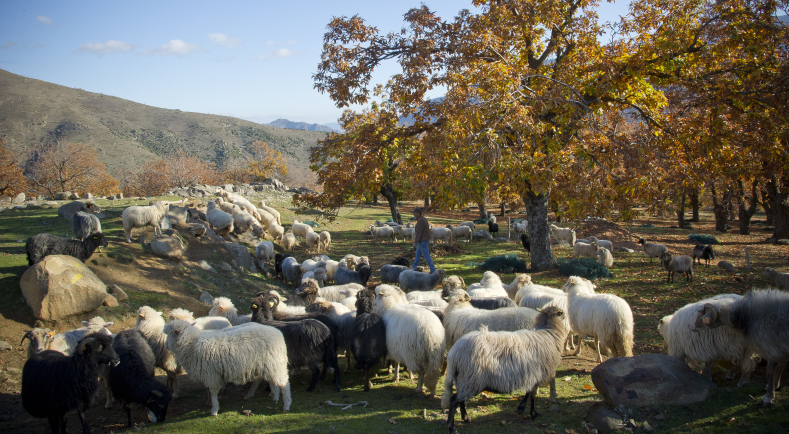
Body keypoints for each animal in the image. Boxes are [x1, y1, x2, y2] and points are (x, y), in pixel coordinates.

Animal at [164, 318, 292, 414]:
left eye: (169, 334)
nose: (165, 346)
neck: (191, 344)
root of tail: (277, 333)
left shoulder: (211, 374)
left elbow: (213, 392)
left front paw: (214, 409)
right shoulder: (208, 374)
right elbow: (209, 390)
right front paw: (210, 404)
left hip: (275, 363)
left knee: (284, 384)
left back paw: (286, 405)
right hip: (269, 365)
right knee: (273, 381)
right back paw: (275, 397)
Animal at [444, 306, 568, 434]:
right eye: (563, 315)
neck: (548, 333)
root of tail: (454, 353)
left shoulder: (532, 375)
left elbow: (529, 392)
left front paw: (521, 408)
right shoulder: (538, 374)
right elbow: (532, 395)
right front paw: (533, 413)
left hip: (464, 379)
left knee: (461, 399)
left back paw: (465, 417)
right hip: (470, 379)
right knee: (454, 400)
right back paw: (452, 427)